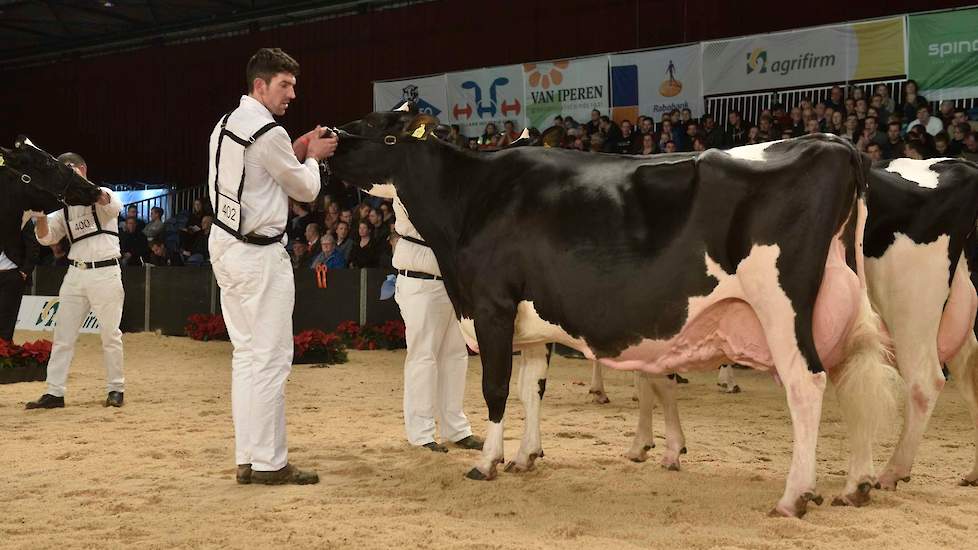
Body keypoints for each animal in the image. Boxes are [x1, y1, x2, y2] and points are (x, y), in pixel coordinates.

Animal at [328, 105, 884, 520]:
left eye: (380, 130)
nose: (329, 141)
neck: (470, 200)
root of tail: (833, 142)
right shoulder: (532, 322)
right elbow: (532, 388)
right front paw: (527, 457)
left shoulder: (492, 305)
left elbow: (496, 388)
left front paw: (488, 462)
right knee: (852, 378)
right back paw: (856, 484)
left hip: (781, 305)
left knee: (807, 384)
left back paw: (794, 496)